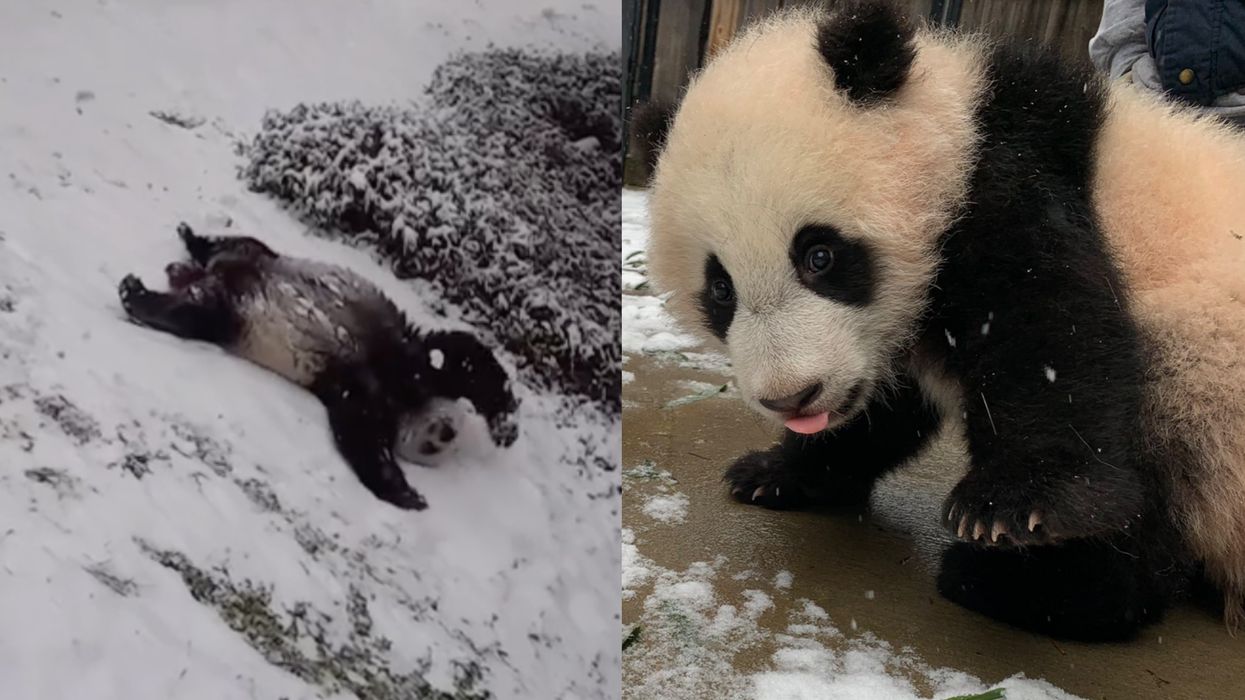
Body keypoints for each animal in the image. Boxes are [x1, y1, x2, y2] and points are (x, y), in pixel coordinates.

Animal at [117, 223, 520, 511]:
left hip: (230, 307)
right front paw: (505, 428)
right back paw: (170, 255)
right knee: (231, 249)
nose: (445, 432)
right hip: (258, 270)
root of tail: (215, 274)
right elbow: (465, 358)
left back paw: (145, 287)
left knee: (195, 311)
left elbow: (358, 430)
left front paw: (404, 489)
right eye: (436, 442)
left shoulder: (355, 388)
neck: (404, 402)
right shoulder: (410, 365)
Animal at [638, 0, 1245, 640]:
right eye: (720, 290)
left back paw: (1033, 586)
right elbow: (886, 406)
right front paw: (778, 471)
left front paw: (1013, 508)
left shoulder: (1011, 181)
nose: (792, 397)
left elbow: (1047, 330)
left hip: (1203, 364)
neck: (956, 125)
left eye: (819, 256)